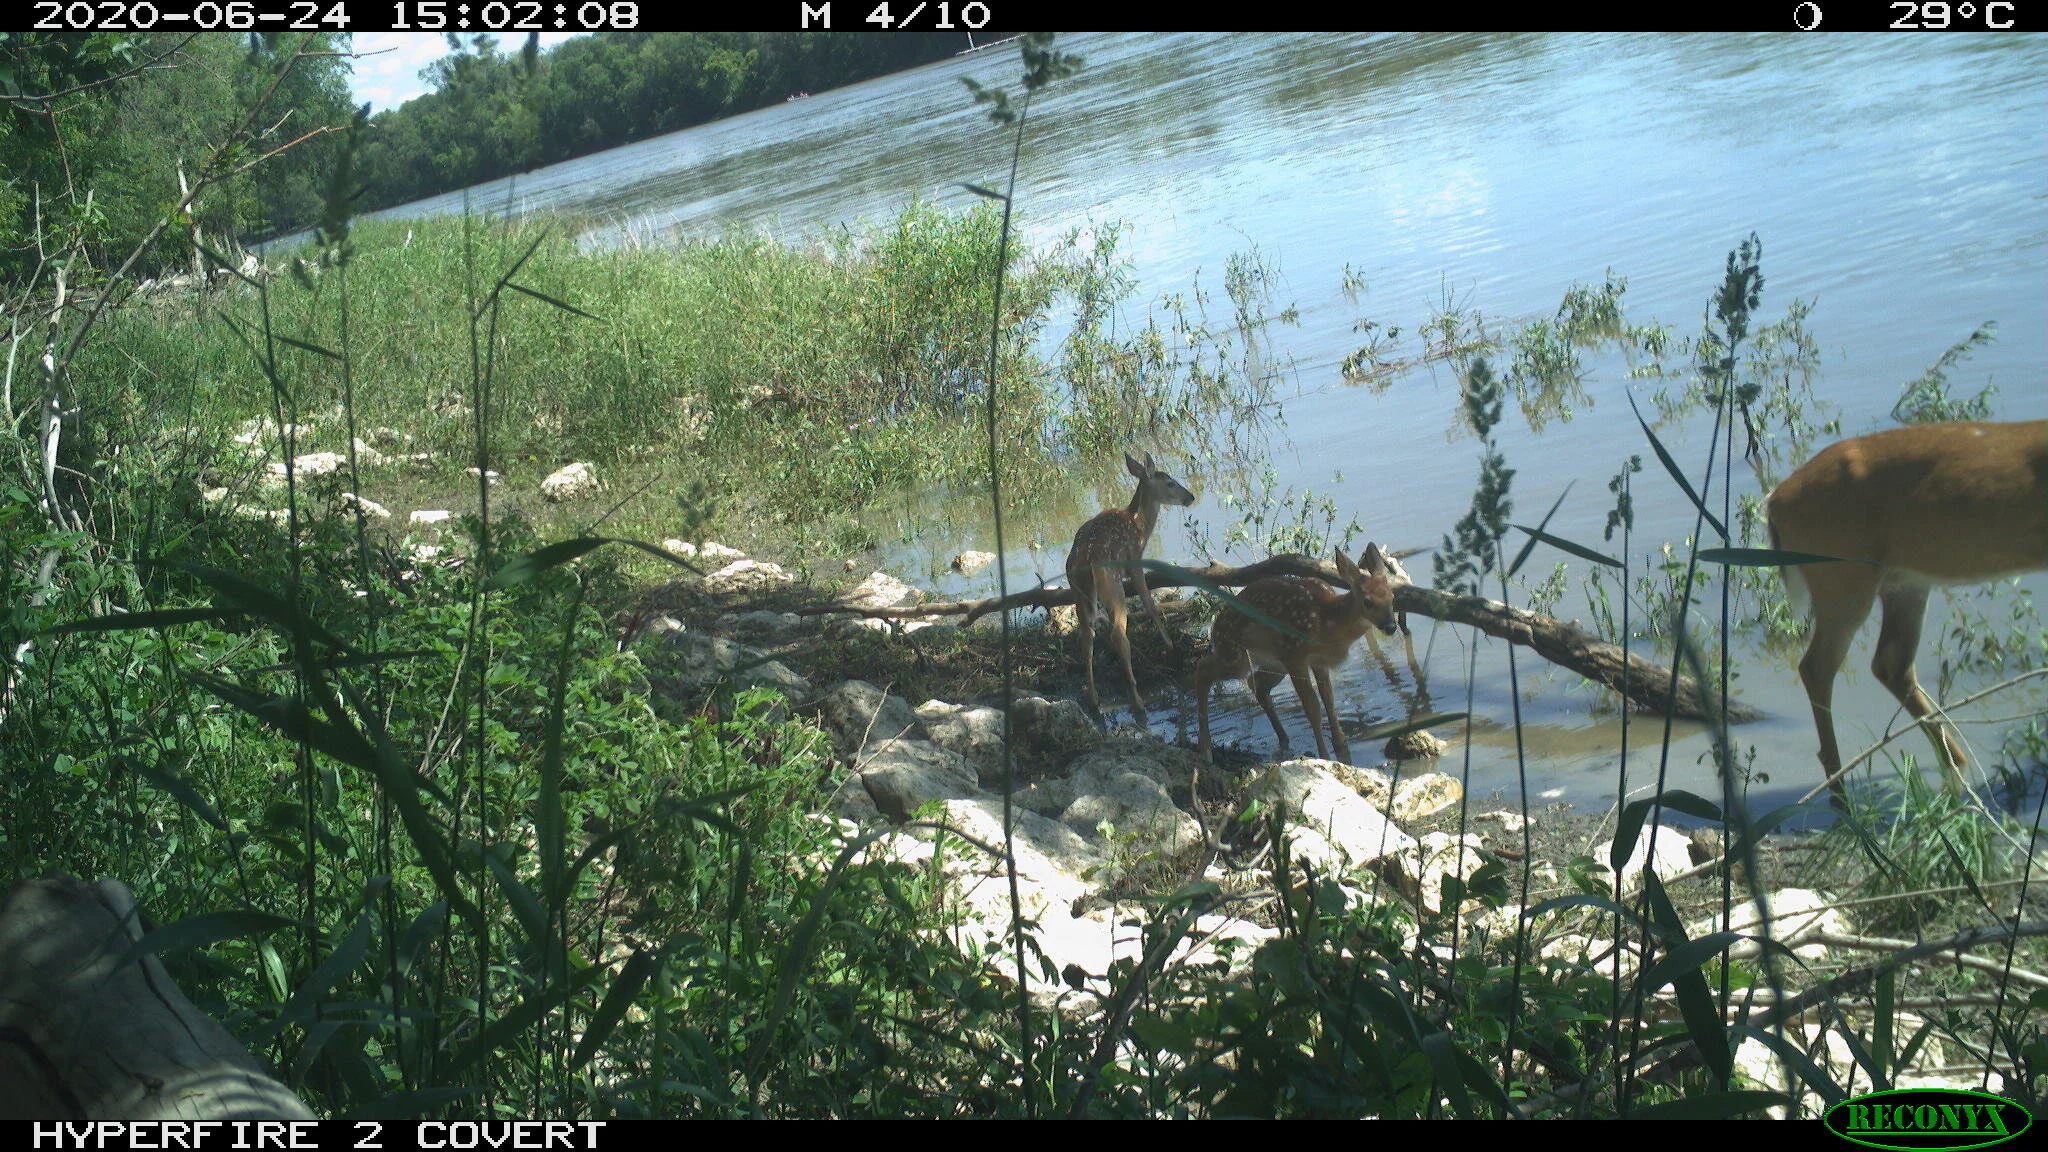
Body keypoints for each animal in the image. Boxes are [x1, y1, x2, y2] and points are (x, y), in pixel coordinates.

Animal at [1065, 451, 1198, 723]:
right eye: (1170, 482)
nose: (1189, 497)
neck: (1139, 523)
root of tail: (1084, 561)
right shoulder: (1135, 561)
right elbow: (1149, 604)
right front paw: (1169, 645)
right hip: (1112, 585)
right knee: (1118, 633)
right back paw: (1136, 701)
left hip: (1078, 593)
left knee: (1086, 637)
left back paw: (1094, 701)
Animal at [1193, 543, 1400, 765]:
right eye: (1368, 602)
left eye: (1392, 598)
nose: (1390, 626)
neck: (1325, 623)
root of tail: (1215, 627)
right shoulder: (1295, 654)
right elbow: (1313, 708)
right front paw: (1324, 757)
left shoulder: (1318, 661)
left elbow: (1329, 701)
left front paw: (1342, 749)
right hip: (1236, 654)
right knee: (1203, 669)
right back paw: (1205, 751)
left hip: (1272, 663)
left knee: (1256, 683)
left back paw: (1283, 739)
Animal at [1766, 419, 2048, 803]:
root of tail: (1774, 502)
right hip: (1843, 577)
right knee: (1818, 667)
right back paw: (1841, 795)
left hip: (1904, 581)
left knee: (1890, 663)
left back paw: (1954, 775)